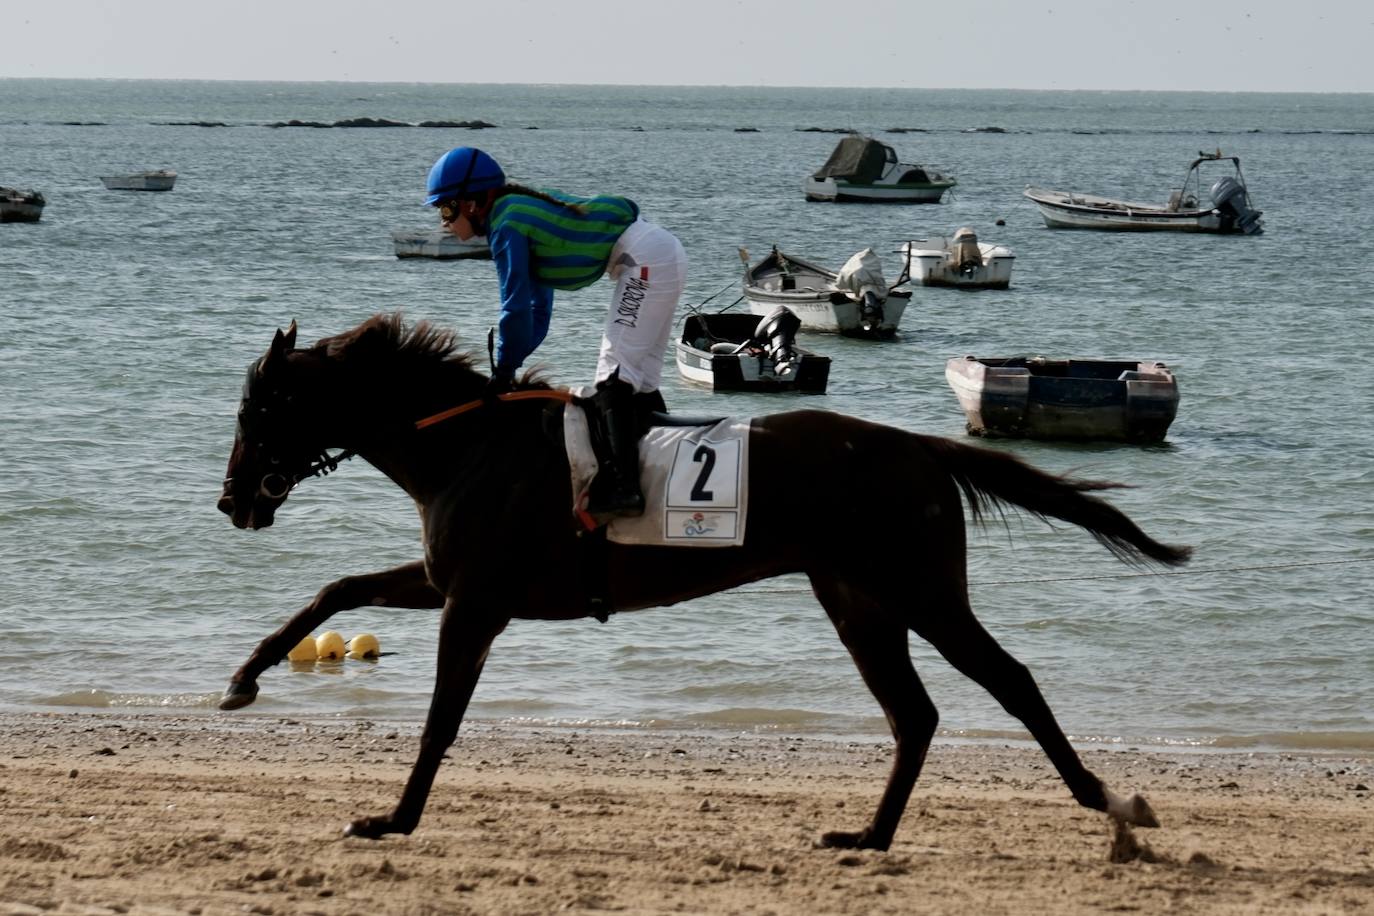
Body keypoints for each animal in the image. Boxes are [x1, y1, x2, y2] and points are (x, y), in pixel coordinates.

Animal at [217, 315, 1192, 851]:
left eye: (258, 407)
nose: (232, 500)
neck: (465, 444)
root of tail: (918, 447)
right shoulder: (446, 581)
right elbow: (336, 590)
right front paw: (244, 678)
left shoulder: (476, 603)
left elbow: (438, 721)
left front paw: (393, 819)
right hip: (858, 601)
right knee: (914, 715)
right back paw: (869, 835)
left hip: (918, 590)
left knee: (1009, 681)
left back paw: (1106, 798)